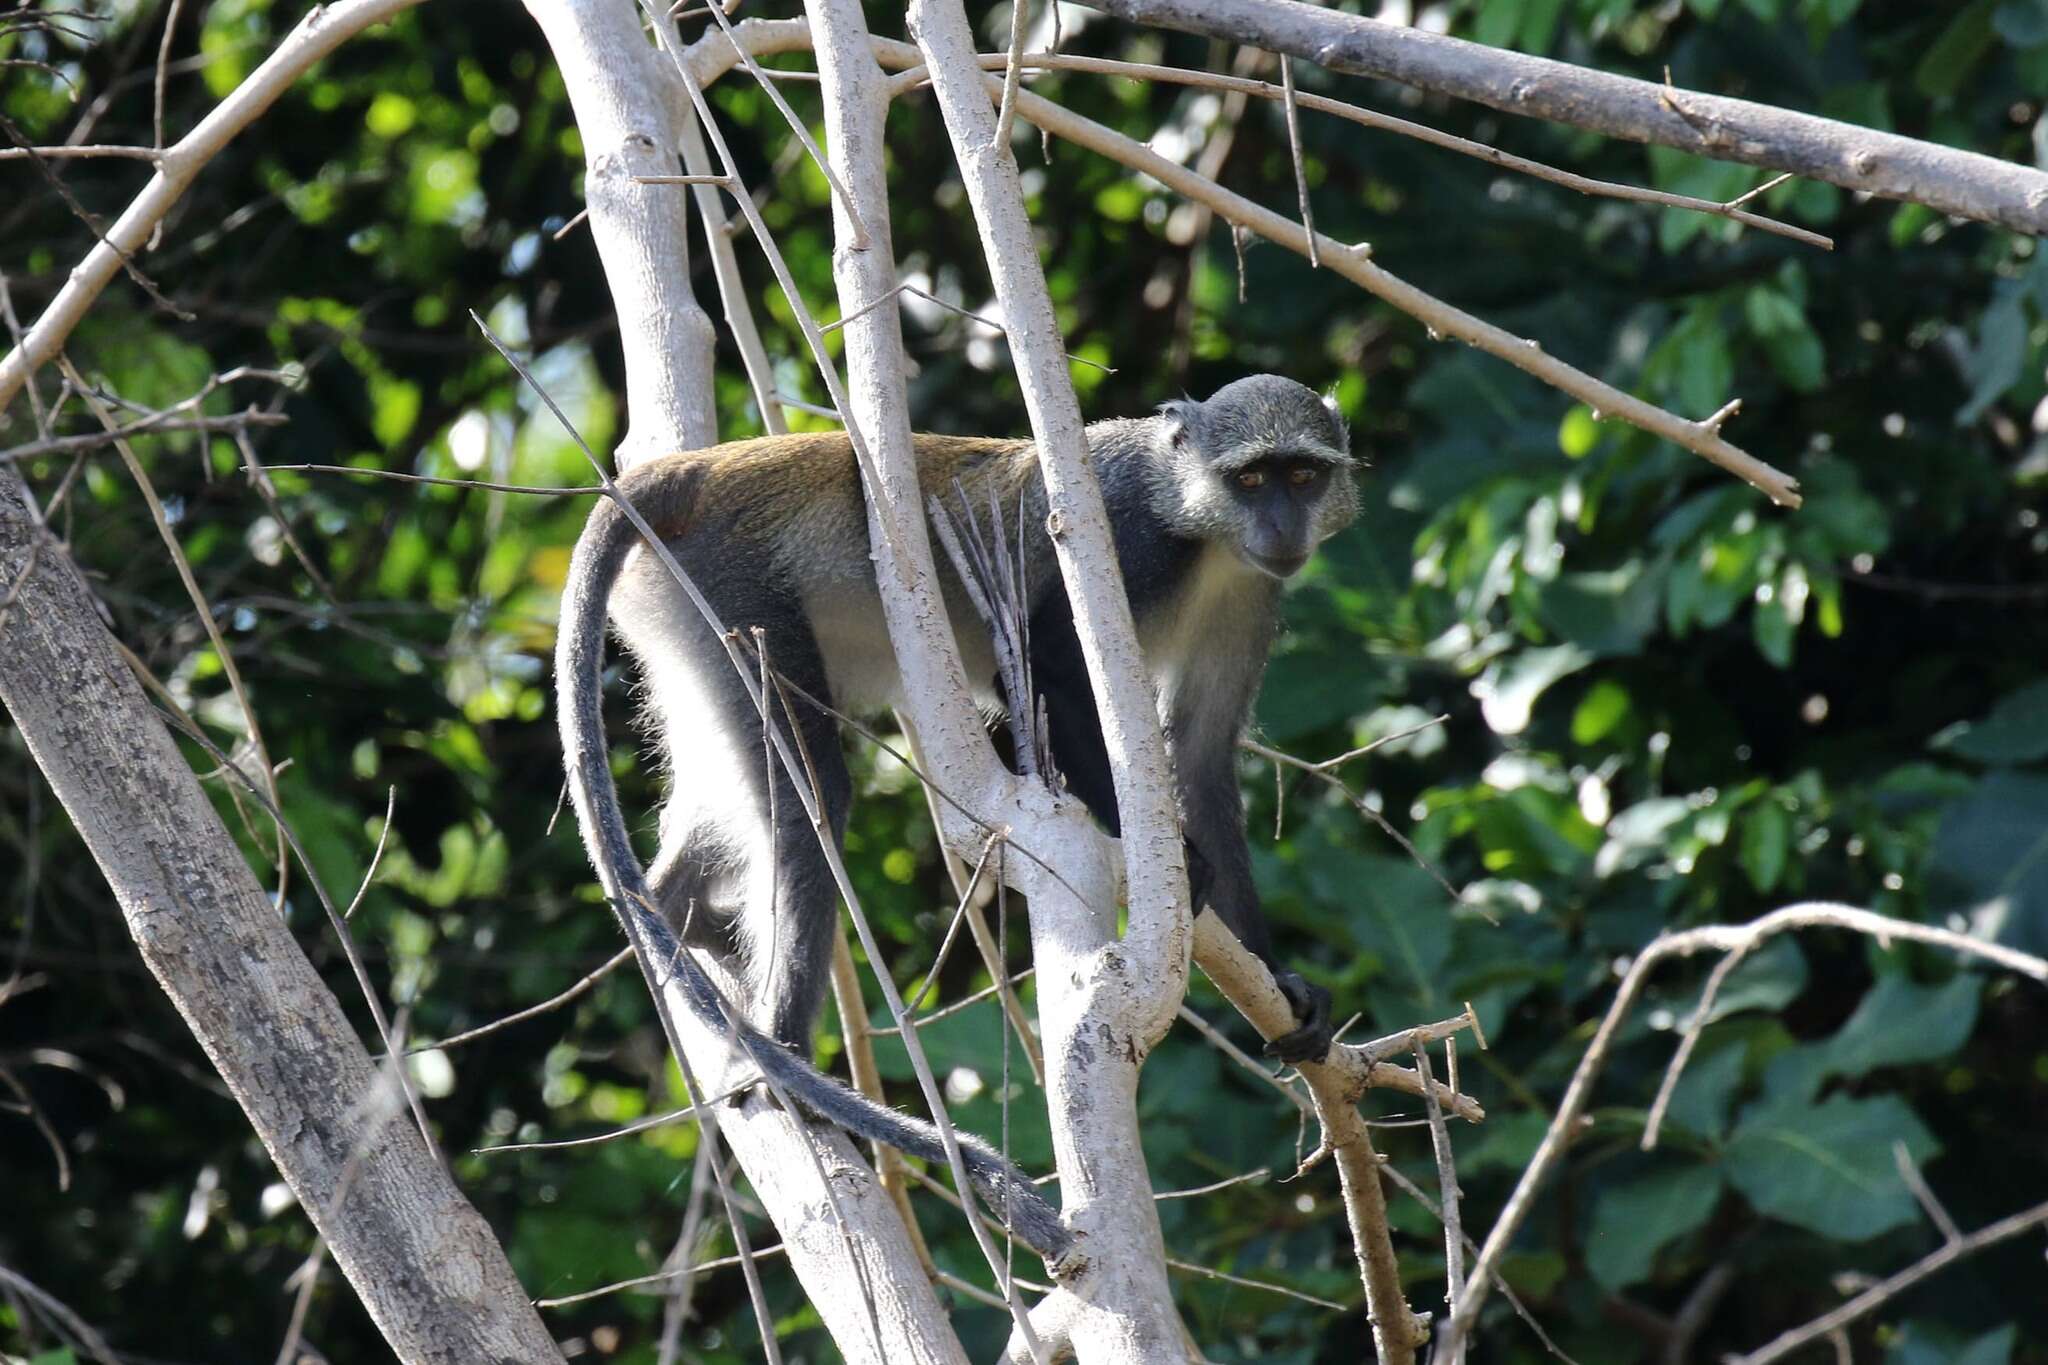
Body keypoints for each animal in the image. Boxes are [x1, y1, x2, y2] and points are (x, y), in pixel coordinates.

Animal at [557, 374, 1359, 1260]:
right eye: (1250, 479)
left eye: (1301, 475)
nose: (1281, 527)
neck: (1200, 528)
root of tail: (694, 474)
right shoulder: (1124, 548)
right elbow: (1047, 667)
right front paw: (1177, 858)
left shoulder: (1254, 592)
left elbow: (1205, 756)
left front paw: (1278, 978)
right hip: (730, 592)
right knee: (812, 794)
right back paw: (785, 1054)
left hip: (684, 622)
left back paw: (675, 909)